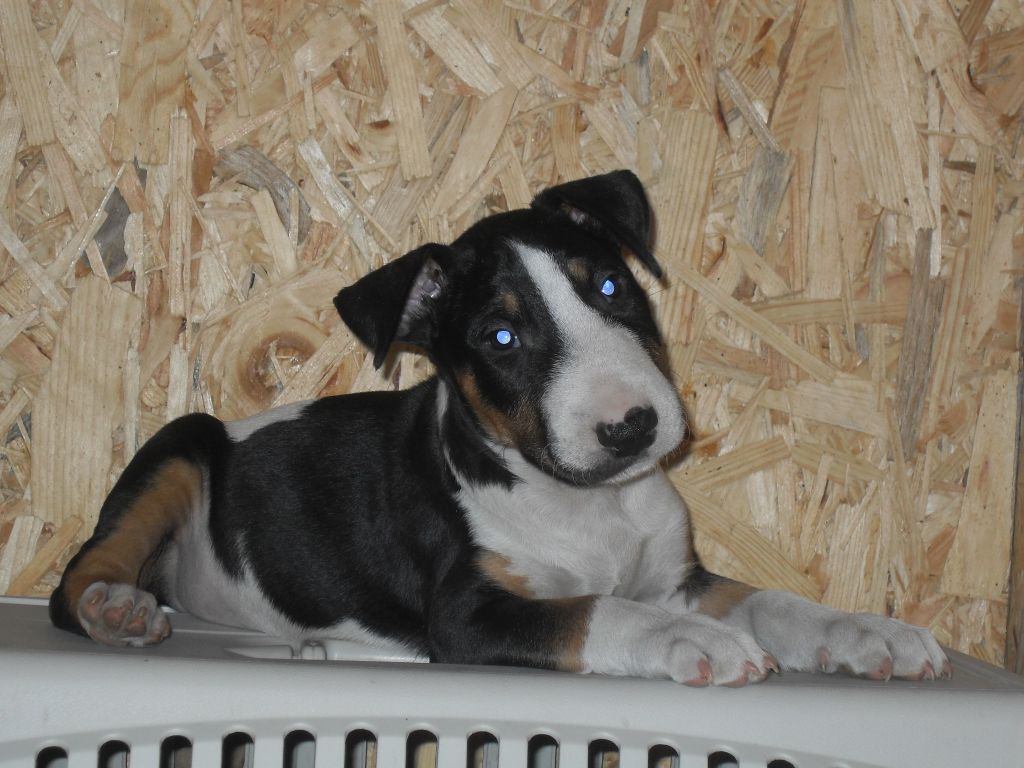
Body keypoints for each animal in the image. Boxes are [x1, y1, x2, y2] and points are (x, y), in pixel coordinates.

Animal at [50, 171, 949, 685]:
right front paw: (695, 642)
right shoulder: (469, 612)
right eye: (502, 338)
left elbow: (768, 601)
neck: (590, 502)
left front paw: (869, 632)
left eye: (612, 286)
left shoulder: (678, 575)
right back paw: (117, 610)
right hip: (182, 443)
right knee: (74, 580)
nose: (631, 427)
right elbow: (595, 611)